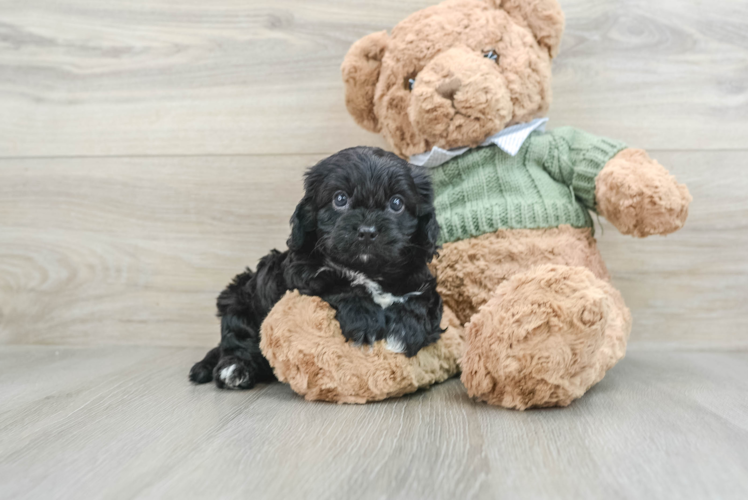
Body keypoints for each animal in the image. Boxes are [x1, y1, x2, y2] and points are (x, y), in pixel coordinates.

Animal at [188, 146, 444, 388]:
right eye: (340, 199)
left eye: (397, 203)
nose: (367, 231)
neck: (369, 270)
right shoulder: (303, 273)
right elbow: (337, 283)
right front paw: (366, 319)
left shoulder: (421, 280)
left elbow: (421, 301)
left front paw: (403, 330)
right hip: (238, 301)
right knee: (237, 340)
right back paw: (234, 369)